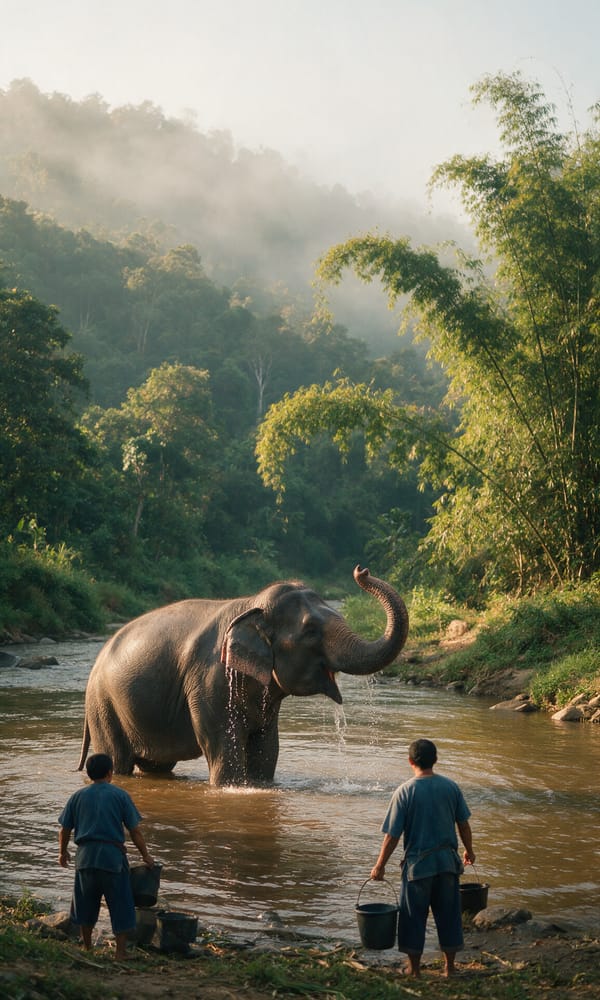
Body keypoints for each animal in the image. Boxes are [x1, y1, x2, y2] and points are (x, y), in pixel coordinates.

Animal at [77, 565, 408, 786]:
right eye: (311, 630)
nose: (361, 570)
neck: (252, 604)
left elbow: (268, 745)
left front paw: (261, 786)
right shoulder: (209, 681)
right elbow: (224, 744)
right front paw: (232, 789)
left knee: (157, 766)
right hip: (103, 707)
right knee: (116, 761)